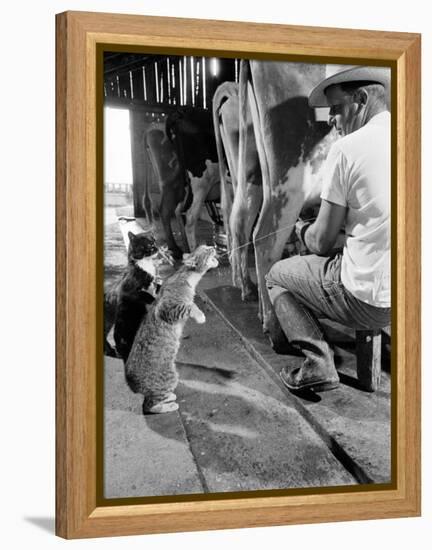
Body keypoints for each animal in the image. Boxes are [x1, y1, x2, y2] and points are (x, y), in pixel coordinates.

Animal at [125, 245, 219, 414]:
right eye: (206, 250)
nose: (213, 246)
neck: (185, 277)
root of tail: (131, 385)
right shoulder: (168, 309)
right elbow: (189, 306)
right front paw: (200, 316)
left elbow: (191, 303)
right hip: (170, 377)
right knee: (150, 406)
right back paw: (169, 405)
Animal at [213, 61, 338, 344]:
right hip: (290, 179)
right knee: (264, 236)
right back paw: (274, 324)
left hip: (252, 176)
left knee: (238, 218)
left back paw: (247, 290)